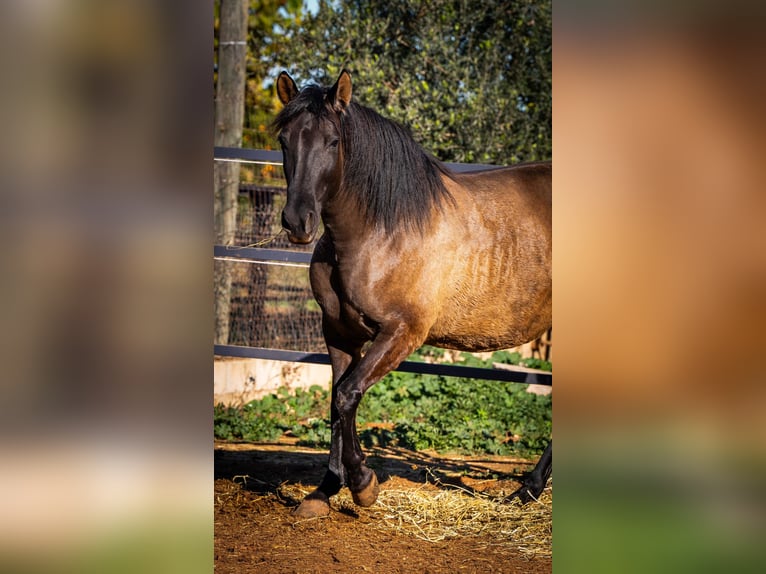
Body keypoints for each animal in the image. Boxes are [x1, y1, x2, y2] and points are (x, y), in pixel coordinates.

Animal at [276, 70, 552, 520]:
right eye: (284, 140)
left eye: (333, 142)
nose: (298, 222)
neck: (382, 232)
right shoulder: (338, 333)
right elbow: (337, 399)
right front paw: (325, 490)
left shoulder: (402, 333)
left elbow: (348, 395)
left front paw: (363, 485)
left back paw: (528, 489)